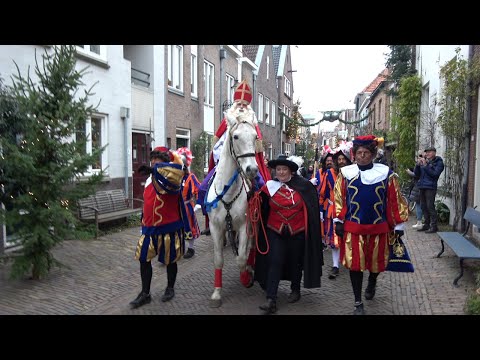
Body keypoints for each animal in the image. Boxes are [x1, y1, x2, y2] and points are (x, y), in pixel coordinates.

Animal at [205, 104, 258, 306]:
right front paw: (216, 293)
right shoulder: (216, 227)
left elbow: (241, 258)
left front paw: (246, 278)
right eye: (235, 136)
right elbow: (218, 259)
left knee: (251, 248)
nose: (252, 170)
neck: (227, 193)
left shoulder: (244, 225)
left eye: (255, 136)